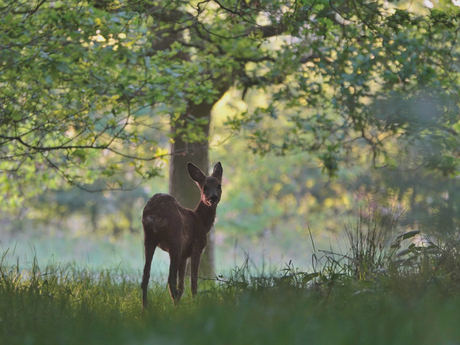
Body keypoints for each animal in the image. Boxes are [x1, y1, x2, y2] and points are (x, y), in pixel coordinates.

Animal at [141, 161, 224, 310]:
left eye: (219, 185)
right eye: (204, 186)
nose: (213, 198)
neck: (201, 222)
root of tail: (154, 213)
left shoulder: (185, 255)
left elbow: (182, 284)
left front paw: (180, 302)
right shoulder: (197, 248)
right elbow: (193, 282)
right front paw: (194, 304)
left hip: (148, 238)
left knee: (146, 275)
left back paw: (145, 308)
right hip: (175, 240)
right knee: (170, 278)